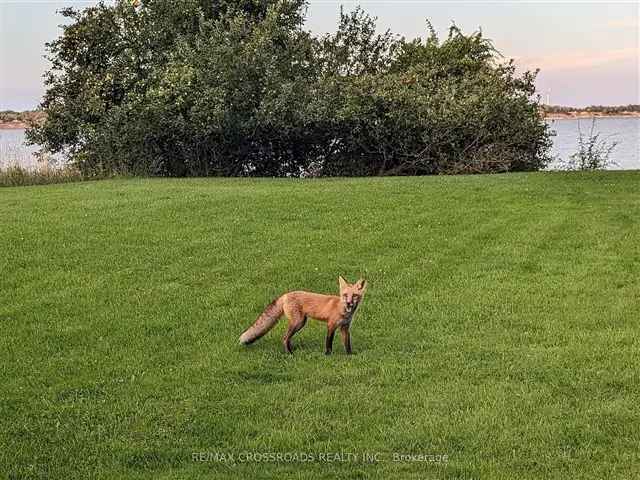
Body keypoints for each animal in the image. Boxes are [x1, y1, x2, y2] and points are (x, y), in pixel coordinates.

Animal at [240, 278, 368, 352]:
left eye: (354, 295)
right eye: (345, 295)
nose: (349, 303)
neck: (343, 310)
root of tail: (285, 294)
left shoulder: (345, 327)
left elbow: (347, 344)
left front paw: (349, 356)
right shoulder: (331, 325)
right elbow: (329, 342)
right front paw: (328, 355)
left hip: (300, 323)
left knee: (287, 338)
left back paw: (291, 350)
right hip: (298, 322)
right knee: (285, 338)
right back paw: (289, 354)